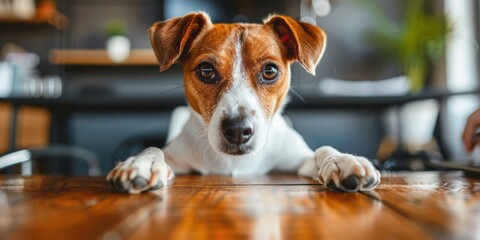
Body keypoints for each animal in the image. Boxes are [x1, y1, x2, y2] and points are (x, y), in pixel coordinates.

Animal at [107, 12, 380, 194]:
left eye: (270, 71)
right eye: (206, 71)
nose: (238, 130)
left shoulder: (296, 160)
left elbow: (321, 150)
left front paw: (342, 160)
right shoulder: (178, 158)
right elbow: (155, 149)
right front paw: (142, 162)